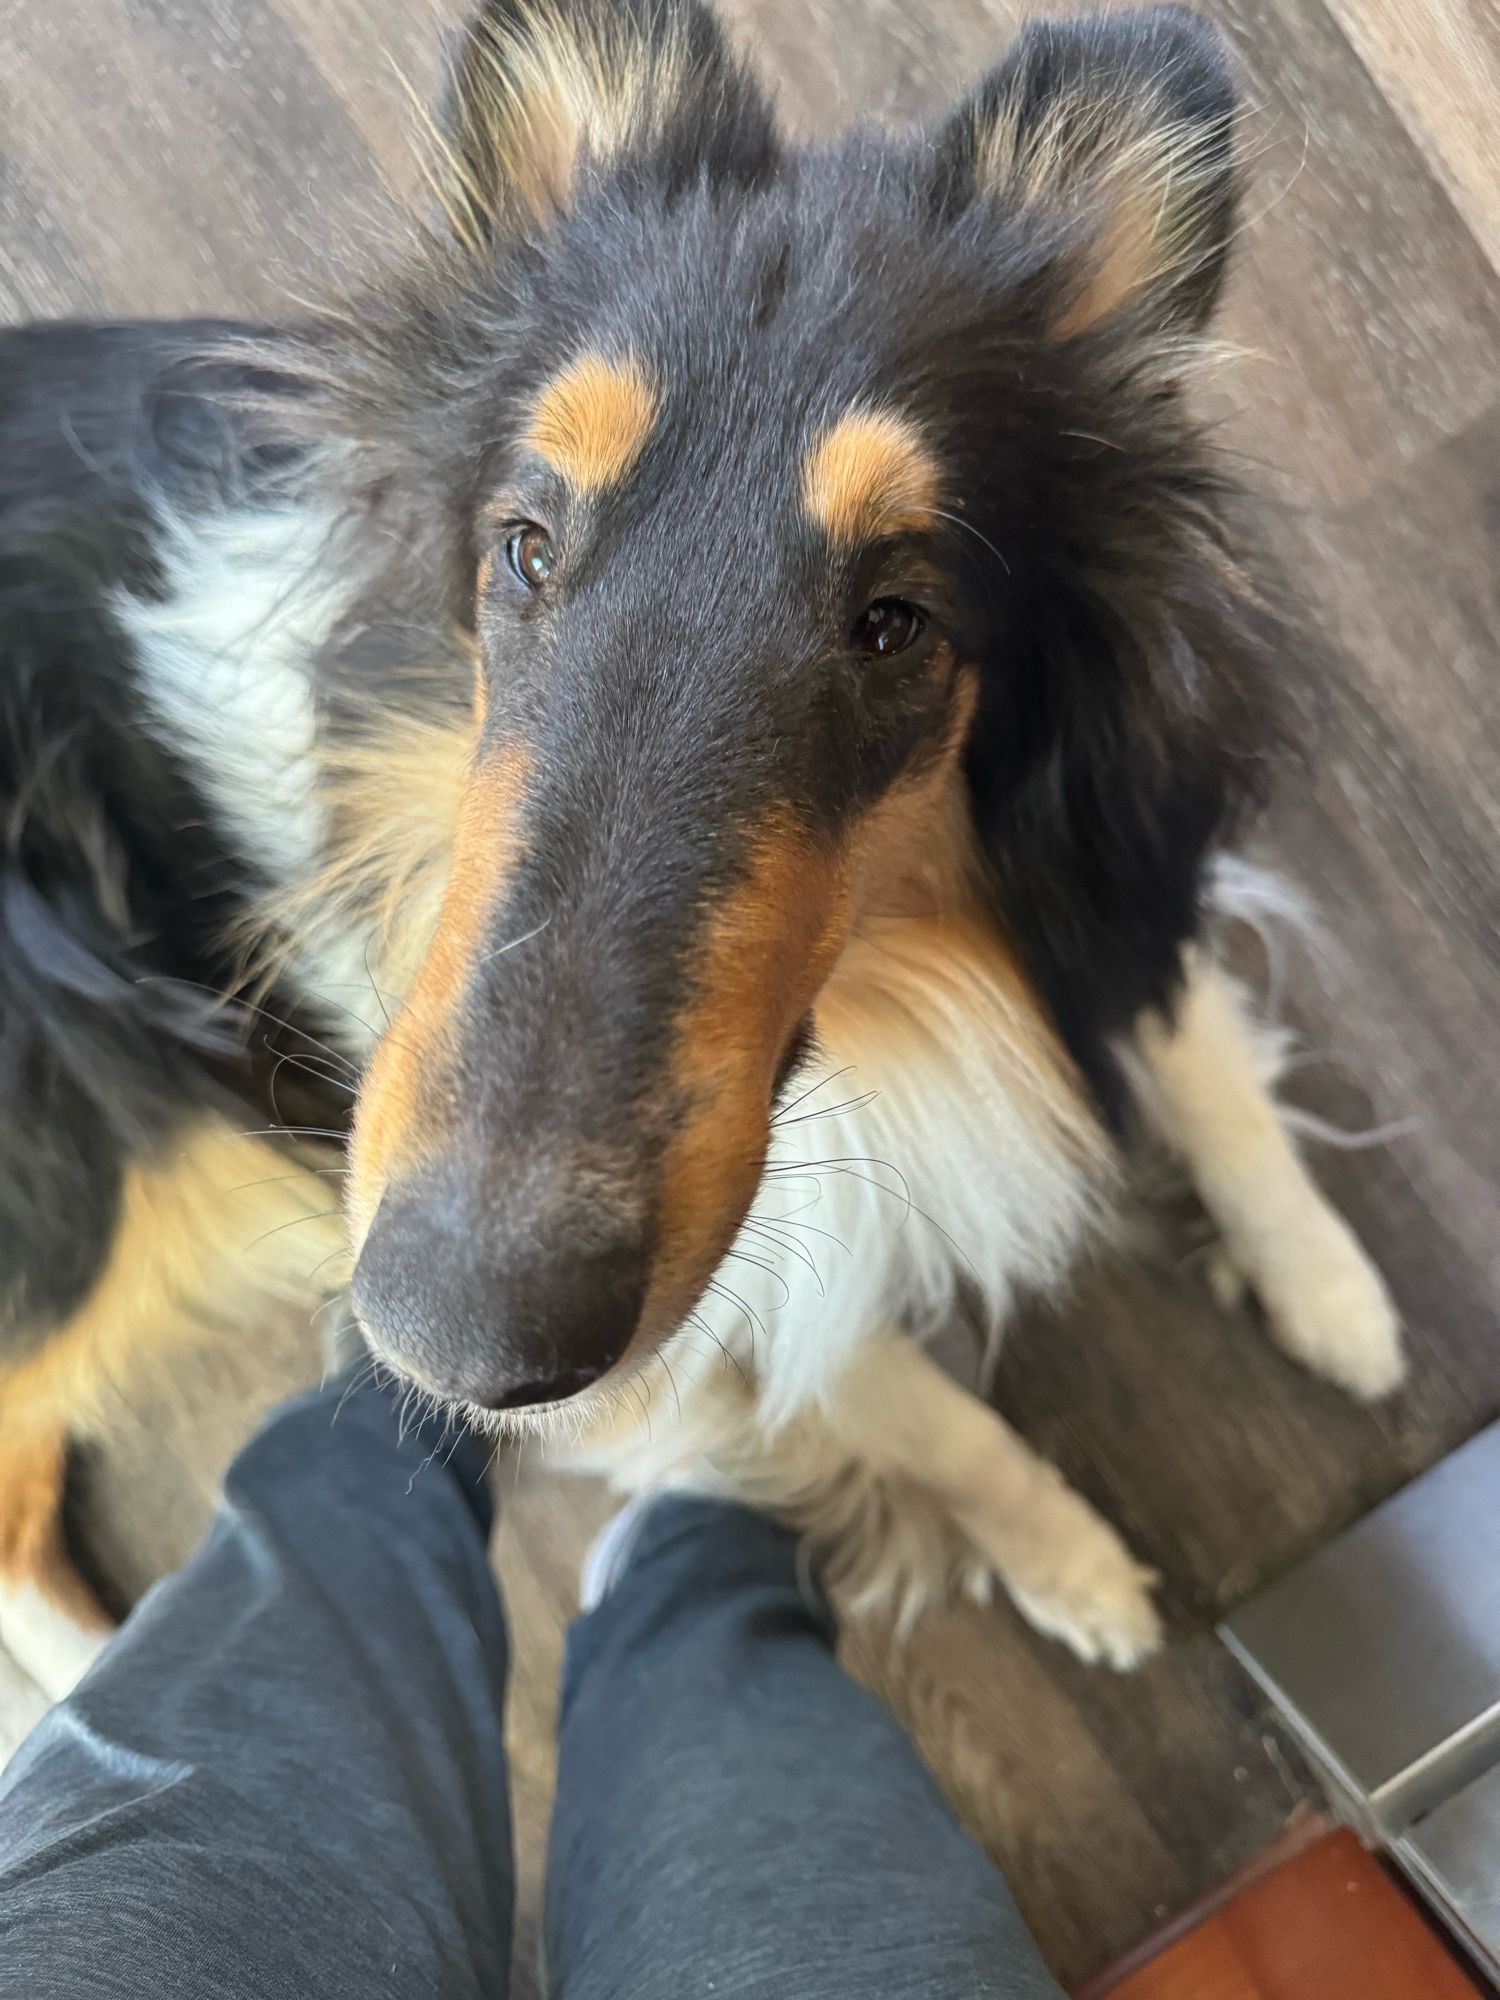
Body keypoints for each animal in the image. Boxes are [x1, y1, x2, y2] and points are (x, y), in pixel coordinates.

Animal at [2, 0, 1408, 1696]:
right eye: (526, 547)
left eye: (896, 619)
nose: (457, 1337)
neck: (899, 986)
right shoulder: (708, 1299)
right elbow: (922, 1411)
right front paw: (1073, 1564)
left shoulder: (1112, 883)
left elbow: (1207, 1066)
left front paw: (1331, 1292)